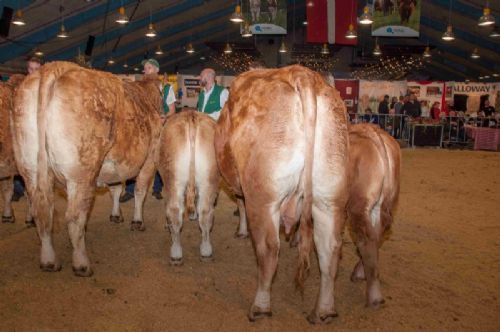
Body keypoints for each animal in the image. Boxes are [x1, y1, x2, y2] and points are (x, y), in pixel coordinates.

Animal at [11, 61, 162, 276]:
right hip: (81, 172)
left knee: (43, 211)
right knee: (74, 217)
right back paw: (82, 264)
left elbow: (116, 189)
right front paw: (137, 221)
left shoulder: (114, 165)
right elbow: (140, 191)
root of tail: (53, 67)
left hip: (30, 168)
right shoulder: (150, 158)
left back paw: (49, 261)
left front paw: (116, 215)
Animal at [156, 110, 219, 266]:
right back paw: (206, 250)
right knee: (206, 213)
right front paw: (192, 215)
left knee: (174, 211)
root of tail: (191, 116)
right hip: (209, 179)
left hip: (173, 179)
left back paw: (176, 252)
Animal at [214, 65, 348, 324]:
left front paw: (241, 231)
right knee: (330, 250)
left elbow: (241, 204)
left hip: (263, 197)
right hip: (330, 198)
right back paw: (324, 311)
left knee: (268, 249)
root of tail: (303, 75)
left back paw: (260, 306)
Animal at [346, 124, 400, 308]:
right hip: (381, 205)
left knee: (366, 240)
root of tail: (374, 134)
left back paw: (374, 297)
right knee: (376, 236)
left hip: (358, 206)